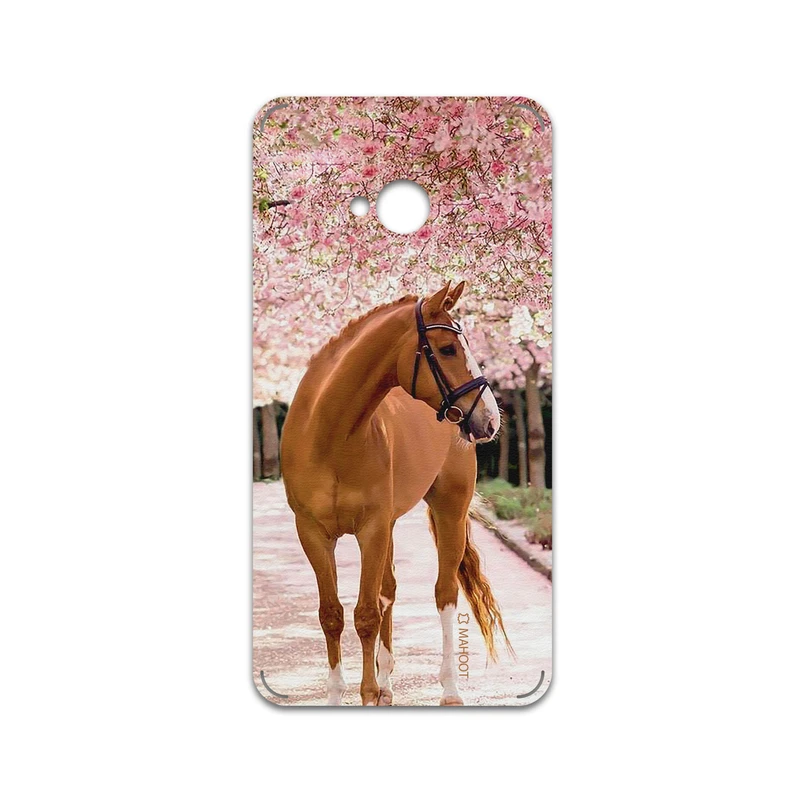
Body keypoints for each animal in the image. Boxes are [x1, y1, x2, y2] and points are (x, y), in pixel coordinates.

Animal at [280, 281, 509, 706]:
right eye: (447, 348)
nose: (489, 419)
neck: (330, 435)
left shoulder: (370, 529)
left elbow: (366, 614)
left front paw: (367, 692)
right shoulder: (313, 533)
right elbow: (332, 614)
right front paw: (344, 693)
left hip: (448, 511)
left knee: (444, 593)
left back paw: (449, 689)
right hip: (388, 525)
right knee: (389, 591)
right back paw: (387, 683)